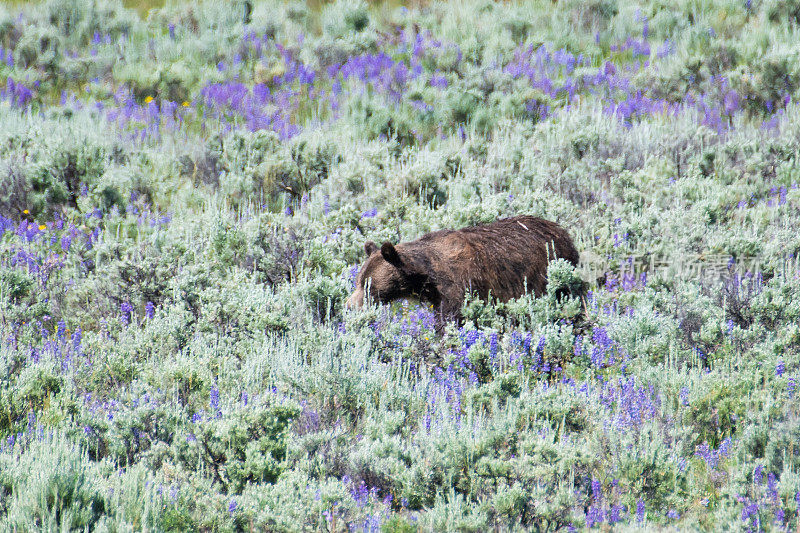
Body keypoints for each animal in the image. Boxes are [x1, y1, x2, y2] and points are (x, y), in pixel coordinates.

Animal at [346, 214, 580, 330]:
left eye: (367, 285)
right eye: (357, 281)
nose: (348, 306)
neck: (427, 275)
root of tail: (564, 233)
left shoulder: (458, 286)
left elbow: (450, 321)